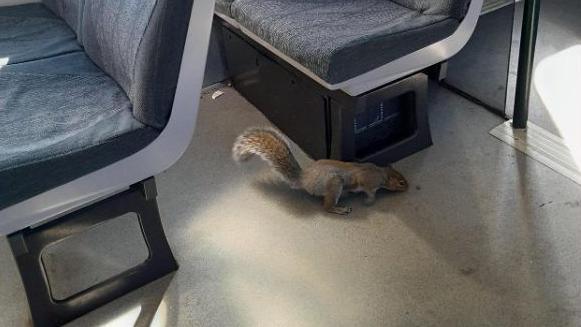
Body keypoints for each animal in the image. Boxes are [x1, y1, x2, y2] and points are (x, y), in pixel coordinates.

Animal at [231, 127, 408, 215]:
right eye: (401, 182)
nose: (408, 187)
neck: (382, 174)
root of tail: (304, 179)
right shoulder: (369, 182)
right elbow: (369, 192)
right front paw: (369, 201)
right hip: (334, 184)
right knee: (326, 207)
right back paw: (339, 209)